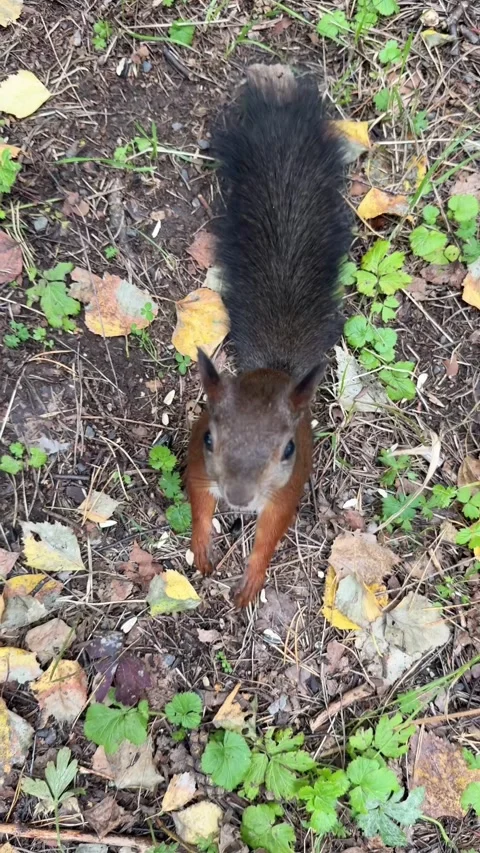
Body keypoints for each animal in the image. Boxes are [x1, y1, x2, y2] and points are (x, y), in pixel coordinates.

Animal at [186, 64, 351, 607]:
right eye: (211, 437)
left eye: (288, 450)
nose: (238, 500)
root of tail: (276, 368)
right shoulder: (197, 461)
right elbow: (197, 500)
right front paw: (202, 546)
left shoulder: (287, 487)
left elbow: (272, 531)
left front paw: (251, 578)